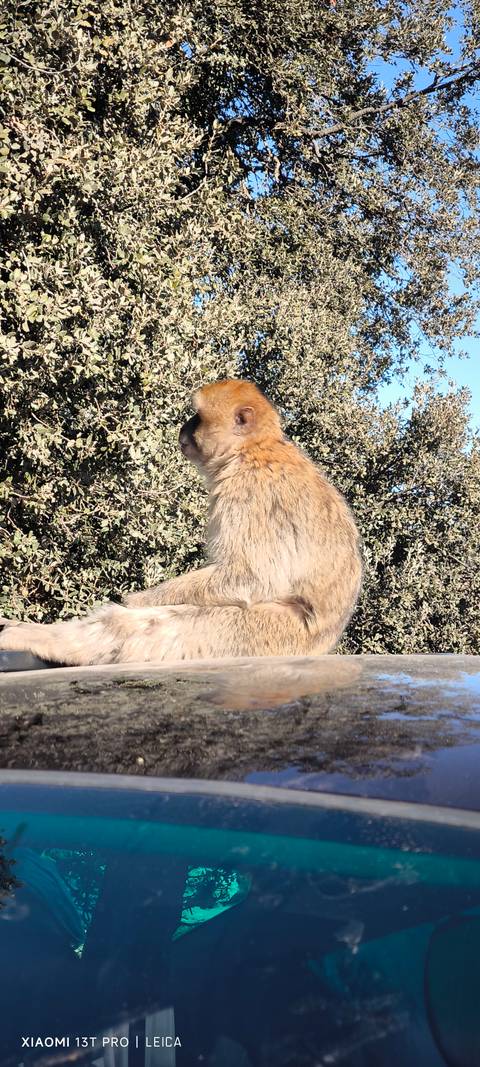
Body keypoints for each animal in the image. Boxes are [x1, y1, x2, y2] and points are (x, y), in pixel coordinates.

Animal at [0, 380, 363, 666]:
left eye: (198, 416)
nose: (183, 428)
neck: (251, 450)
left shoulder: (248, 494)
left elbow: (252, 577)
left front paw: (135, 601)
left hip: (259, 636)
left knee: (161, 627)